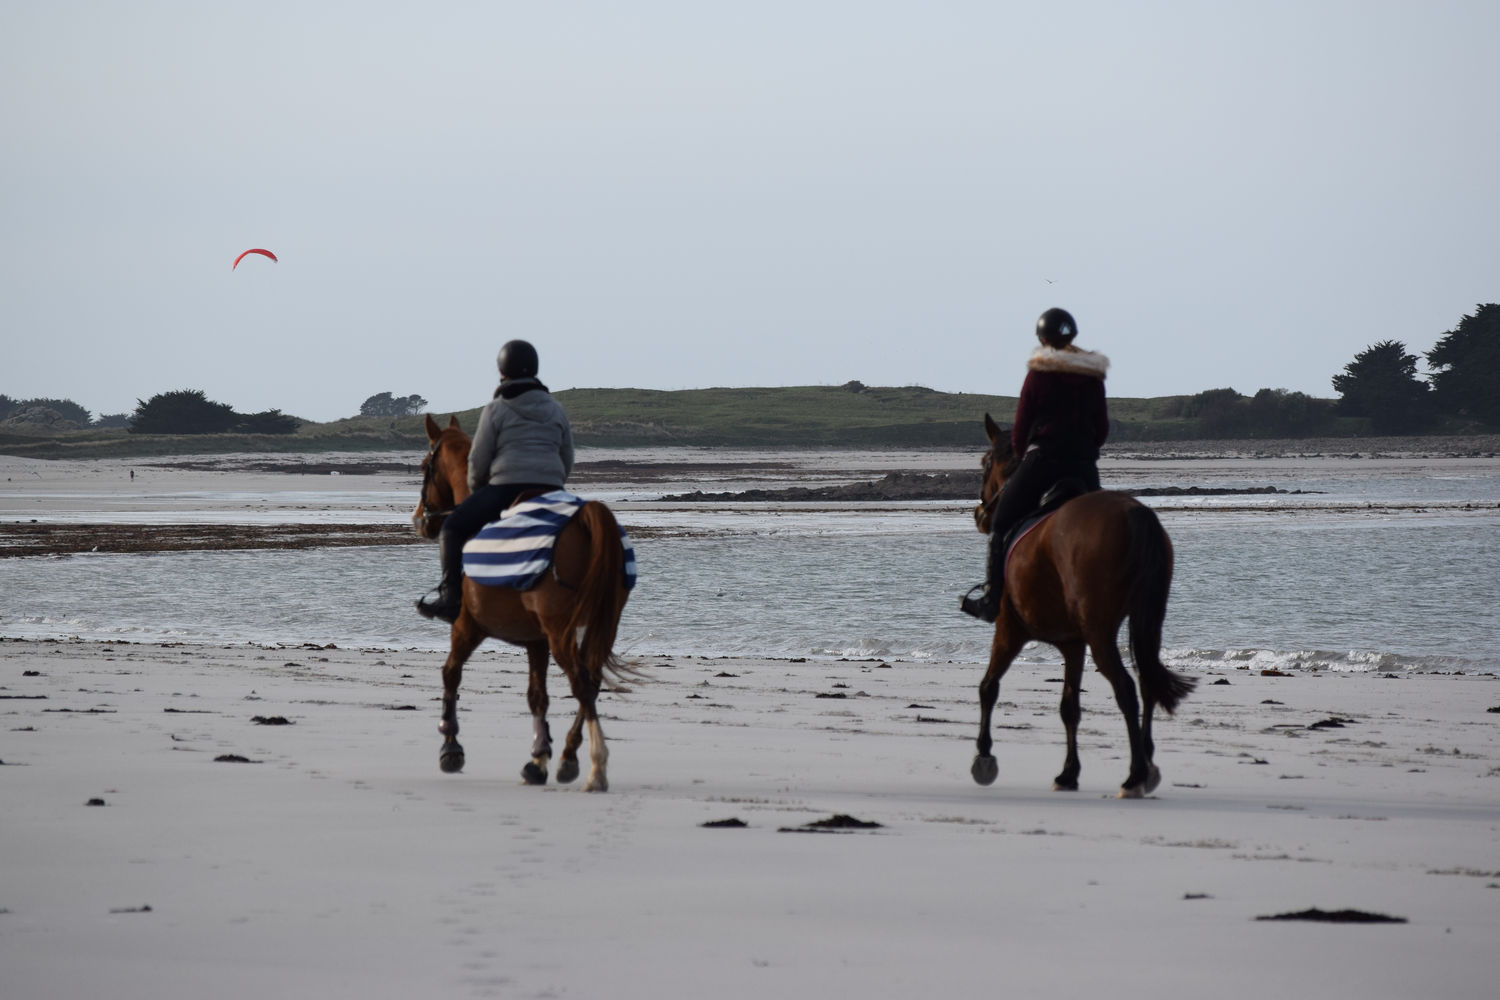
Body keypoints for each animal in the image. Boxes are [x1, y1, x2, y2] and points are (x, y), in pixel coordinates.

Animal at [411, 413, 633, 791]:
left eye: (426, 465)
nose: (419, 519)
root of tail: (586, 517)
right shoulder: (536, 641)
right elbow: (537, 696)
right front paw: (538, 758)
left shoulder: (466, 626)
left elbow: (451, 674)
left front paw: (451, 747)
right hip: (597, 627)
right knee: (591, 682)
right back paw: (569, 757)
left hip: (561, 633)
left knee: (582, 684)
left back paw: (596, 766)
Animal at [972, 413, 1194, 797]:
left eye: (985, 464)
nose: (980, 515)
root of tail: (1134, 514)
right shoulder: (1073, 645)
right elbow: (1069, 707)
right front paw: (1068, 773)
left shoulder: (1009, 631)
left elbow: (989, 687)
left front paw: (984, 757)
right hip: (1144, 623)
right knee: (1147, 681)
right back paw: (1147, 765)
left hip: (1100, 633)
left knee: (1126, 688)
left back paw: (1134, 775)